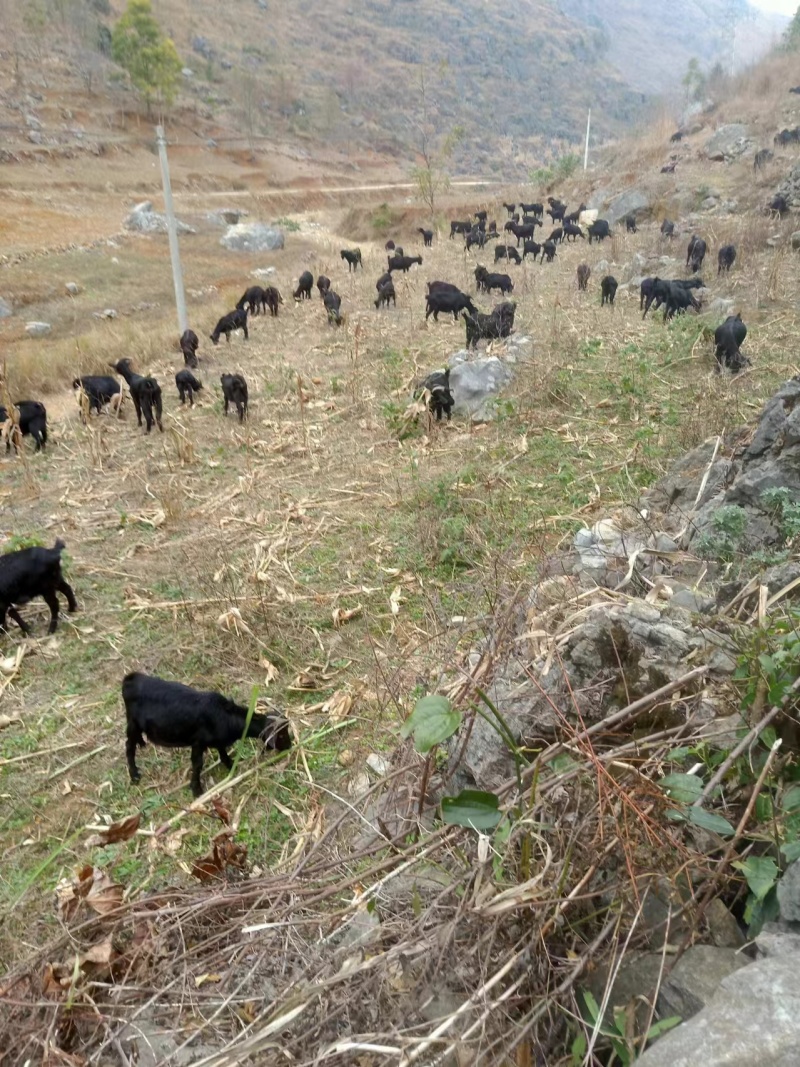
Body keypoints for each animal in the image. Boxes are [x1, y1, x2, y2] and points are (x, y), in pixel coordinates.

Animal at [122, 670, 292, 798]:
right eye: (281, 735)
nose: (290, 746)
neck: (226, 716)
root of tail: (130, 678)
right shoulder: (198, 742)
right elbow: (198, 764)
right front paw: (197, 789)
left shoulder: (218, 740)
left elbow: (223, 753)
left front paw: (231, 766)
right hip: (133, 722)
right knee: (129, 746)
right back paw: (134, 774)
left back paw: (142, 744)